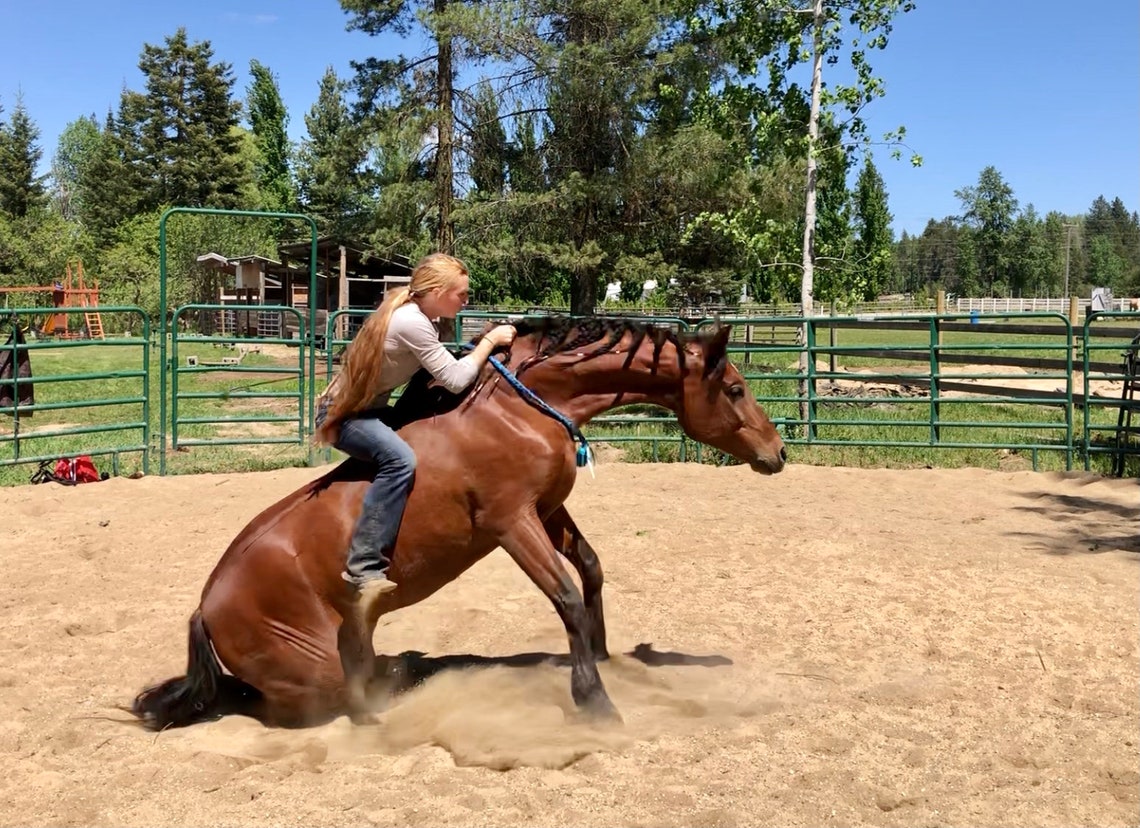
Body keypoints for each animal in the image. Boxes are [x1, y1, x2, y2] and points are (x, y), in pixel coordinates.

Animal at [132, 315, 787, 729]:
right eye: (735, 388)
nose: (778, 453)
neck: (514, 406)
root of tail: (205, 608)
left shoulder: (548, 509)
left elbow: (591, 570)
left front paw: (604, 657)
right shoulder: (511, 523)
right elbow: (567, 596)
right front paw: (594, 702)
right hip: (314, 670)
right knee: (300, 702)